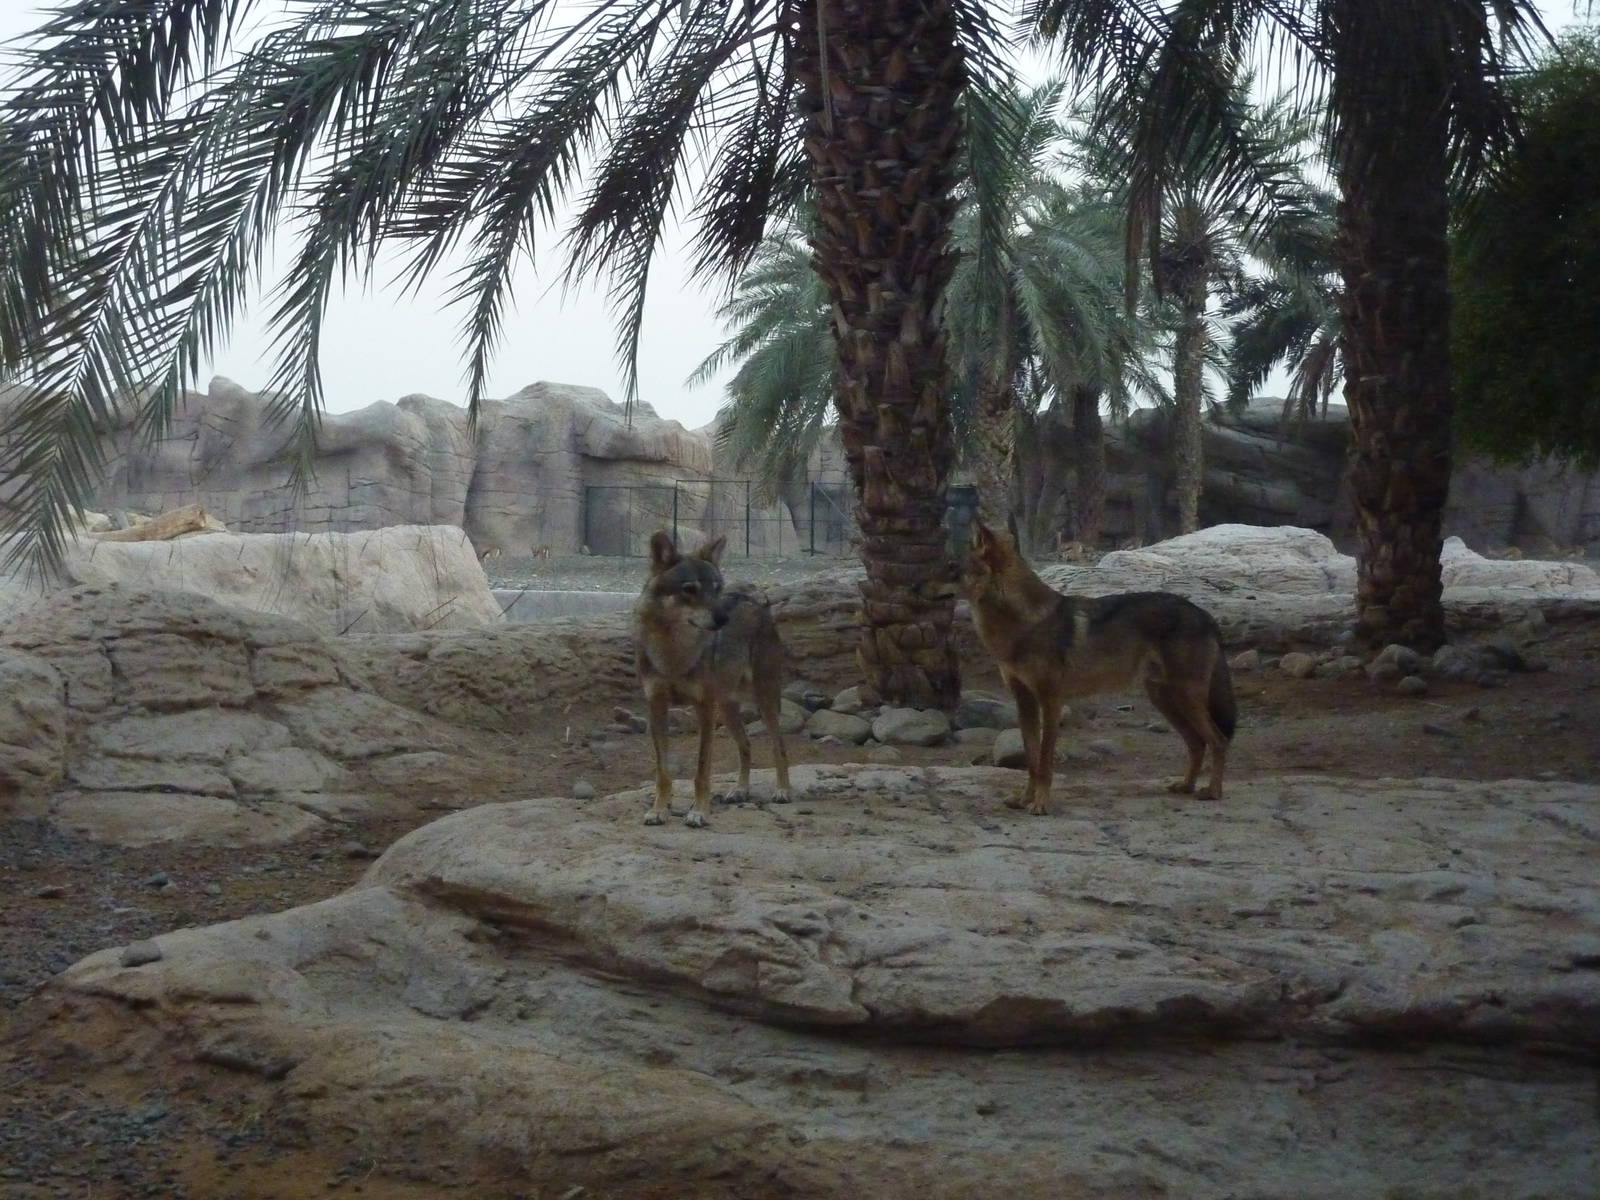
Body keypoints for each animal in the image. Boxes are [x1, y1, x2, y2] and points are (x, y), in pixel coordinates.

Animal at [635, 531, 792, 827]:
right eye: (689, 589)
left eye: (717, 589)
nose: (722, 618)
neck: (674, 656)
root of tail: (755, 602)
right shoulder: (656, 707)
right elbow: (662, 771)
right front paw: (659, 810)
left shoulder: (704, 709)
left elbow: (701, 770)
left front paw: (699, 812)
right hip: (727, 709)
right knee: (746, 745)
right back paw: (740, 790)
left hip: (765, 702)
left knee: (779, 746)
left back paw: (783, 790)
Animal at [936, 522, 1235, 813]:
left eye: (953, 567)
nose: (923, 590)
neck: (1022, 624)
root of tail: (1204, 614)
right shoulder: (1025, 702)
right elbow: (1031, 760)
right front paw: (1024, 799)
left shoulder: (1051, 701)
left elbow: (1045, 760)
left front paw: (1041, 804)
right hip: (1165, 700)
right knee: (1197, 743)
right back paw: (1186, 786)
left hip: (1185, 698)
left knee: (1218, 740)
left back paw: (1213, 792)